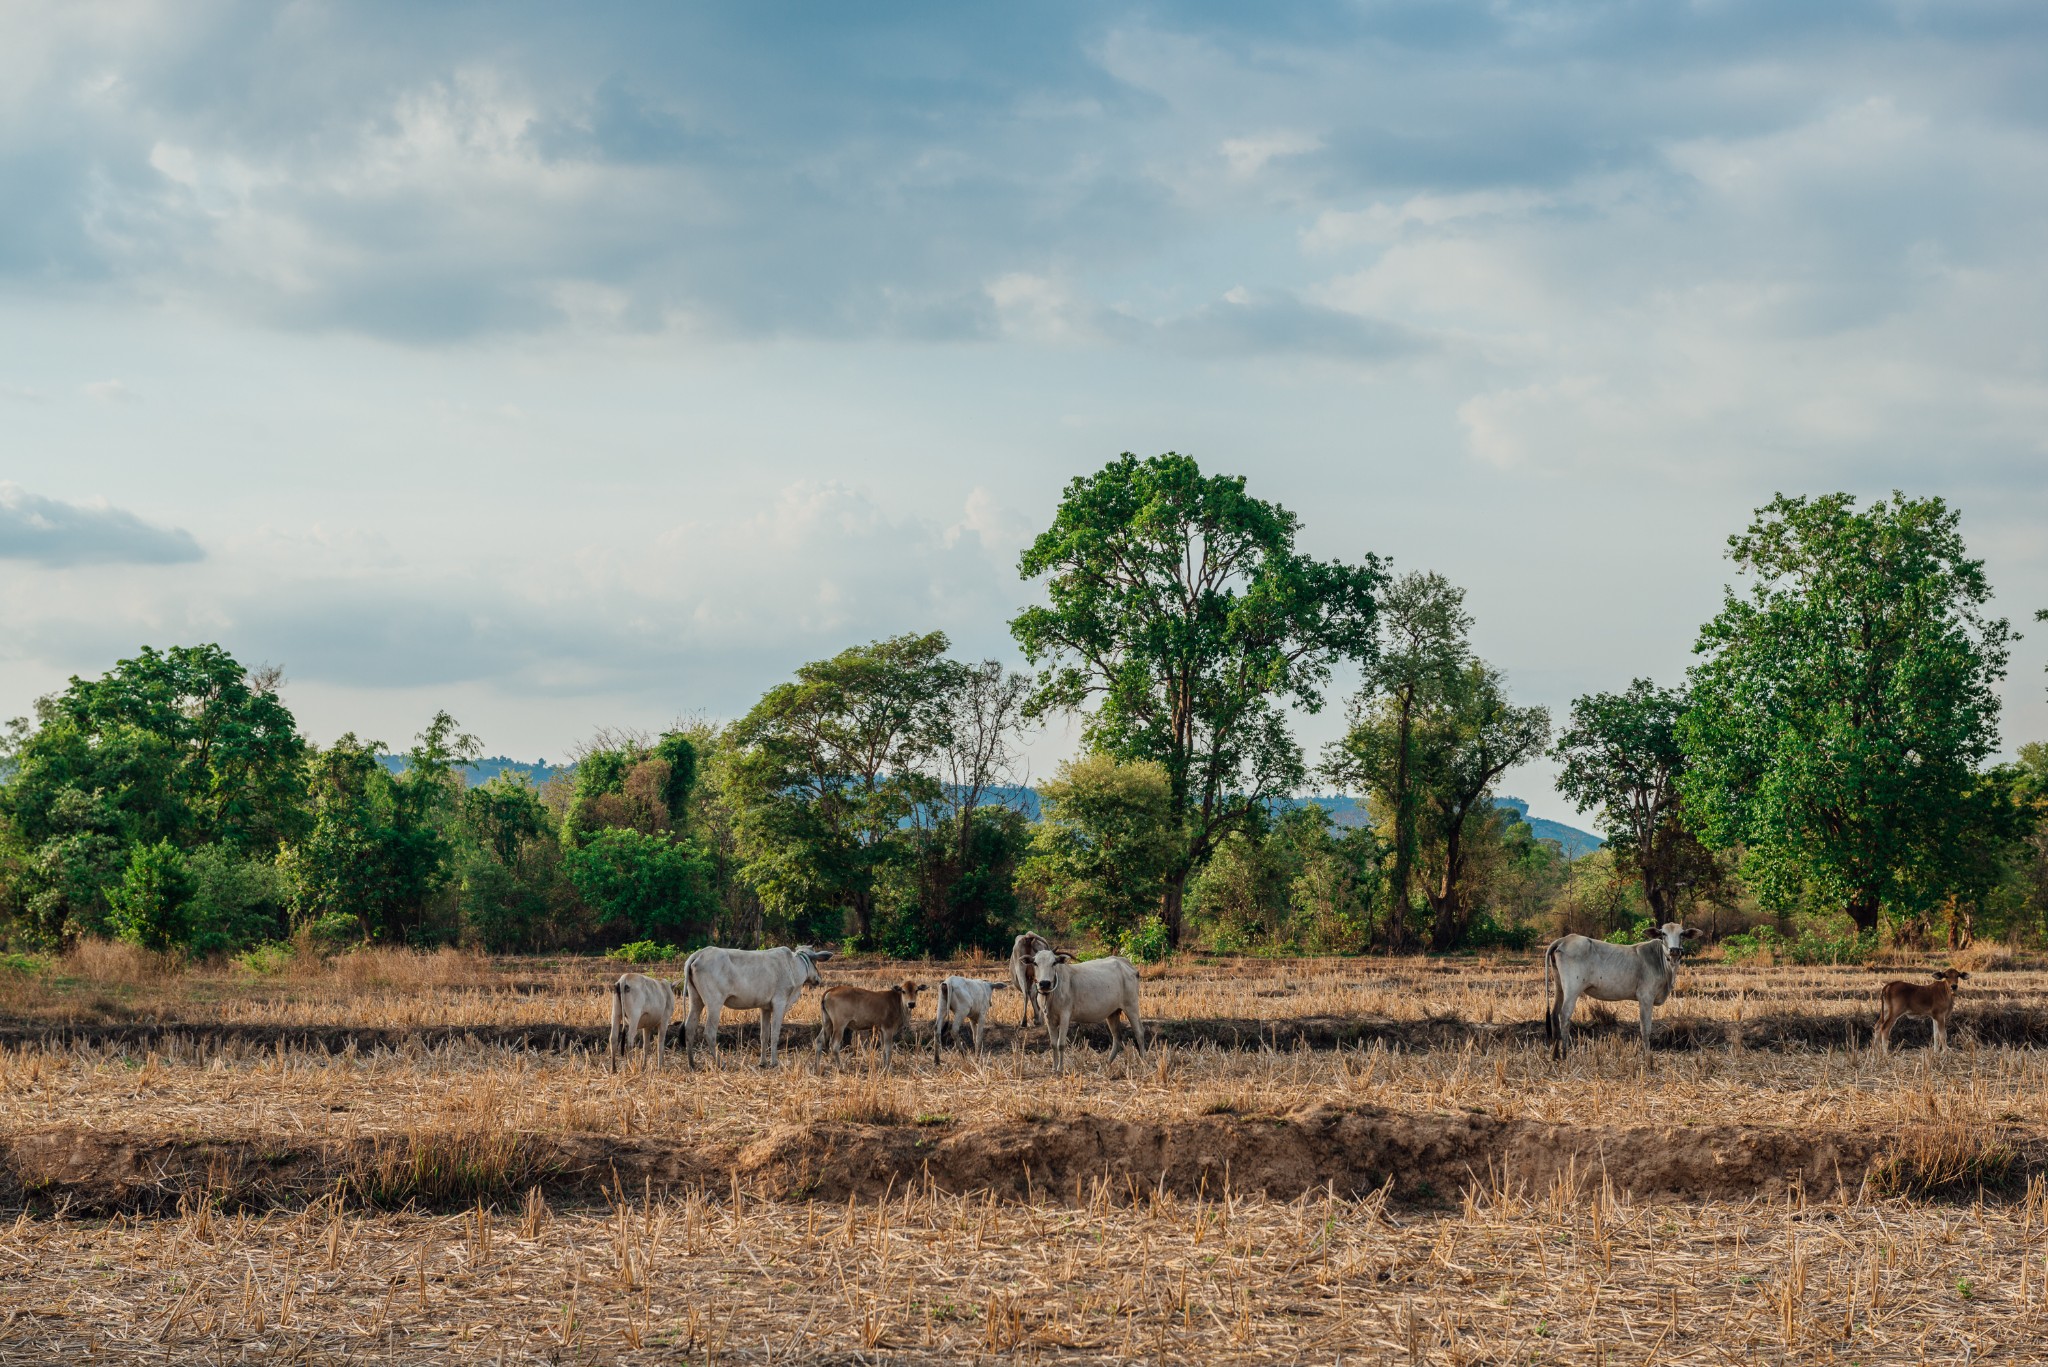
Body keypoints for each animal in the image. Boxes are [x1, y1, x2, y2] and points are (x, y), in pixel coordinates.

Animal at [684, 942, 835, 1065]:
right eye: (815, 962)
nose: (818, 979)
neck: (793, 966)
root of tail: (699, 954)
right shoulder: (779, 1003)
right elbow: (774, 1034)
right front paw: (774, 1062)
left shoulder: (765, 1008)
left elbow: (764, 1035)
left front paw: (763, 1062)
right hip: (714, 1003)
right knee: (709, 1032)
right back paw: (720, 1063)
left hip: (695, 1000)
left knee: (690, 1027)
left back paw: (692, 1063)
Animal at [1540, 918, 1703, 1057]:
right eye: (1663, 933)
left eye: (1682, 934)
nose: (1674, 951)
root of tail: (1564, 939)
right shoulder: (1645, 997)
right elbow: (1645, 1028)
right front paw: (1647, 1055)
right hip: (1572, 989)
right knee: (1564, 1015)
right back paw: (1565, 1054)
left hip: (1559, 986)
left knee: (1554, 1014)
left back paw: (1555, 1055)